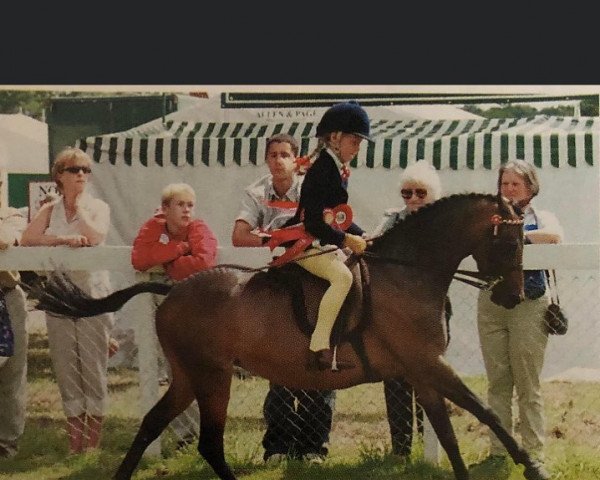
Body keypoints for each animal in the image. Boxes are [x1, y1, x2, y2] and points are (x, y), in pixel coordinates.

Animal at [31, 192, 548, 480]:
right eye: (511, 241)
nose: (514, 296)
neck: (407, 273)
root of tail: (172, 287)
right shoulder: (429, 365)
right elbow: (485, 413)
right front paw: (533, 467)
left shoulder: (422, 373)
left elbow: (449, 432)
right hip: (211, 376)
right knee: (208, 441)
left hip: (188, 376)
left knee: (155, 424)